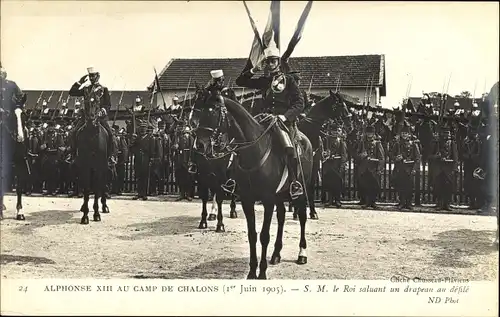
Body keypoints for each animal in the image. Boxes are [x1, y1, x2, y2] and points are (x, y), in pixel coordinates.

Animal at [74, 95, 110, 223]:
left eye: (98, 102)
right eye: (85, 101)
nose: (91, 120)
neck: (92, 136)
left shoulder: (99, 167)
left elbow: (97, 187)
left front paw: (96, 213)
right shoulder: (85, 167)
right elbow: (86, 189)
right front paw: (85, 215)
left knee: (103, 184)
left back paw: (104, 206)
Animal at [191, 95, 312, 278]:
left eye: (212, 112)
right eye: (198, 111)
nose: (199, 145)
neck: (254, 151)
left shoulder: (268, 200)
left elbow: (264, 236)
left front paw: (261, 273)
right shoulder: (247, 200)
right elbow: (252, 235)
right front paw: (252, 272)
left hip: (301, 190)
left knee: (303, 217)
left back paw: (302, 254)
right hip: (278, 195)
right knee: (281, 217)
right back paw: (276, 254)